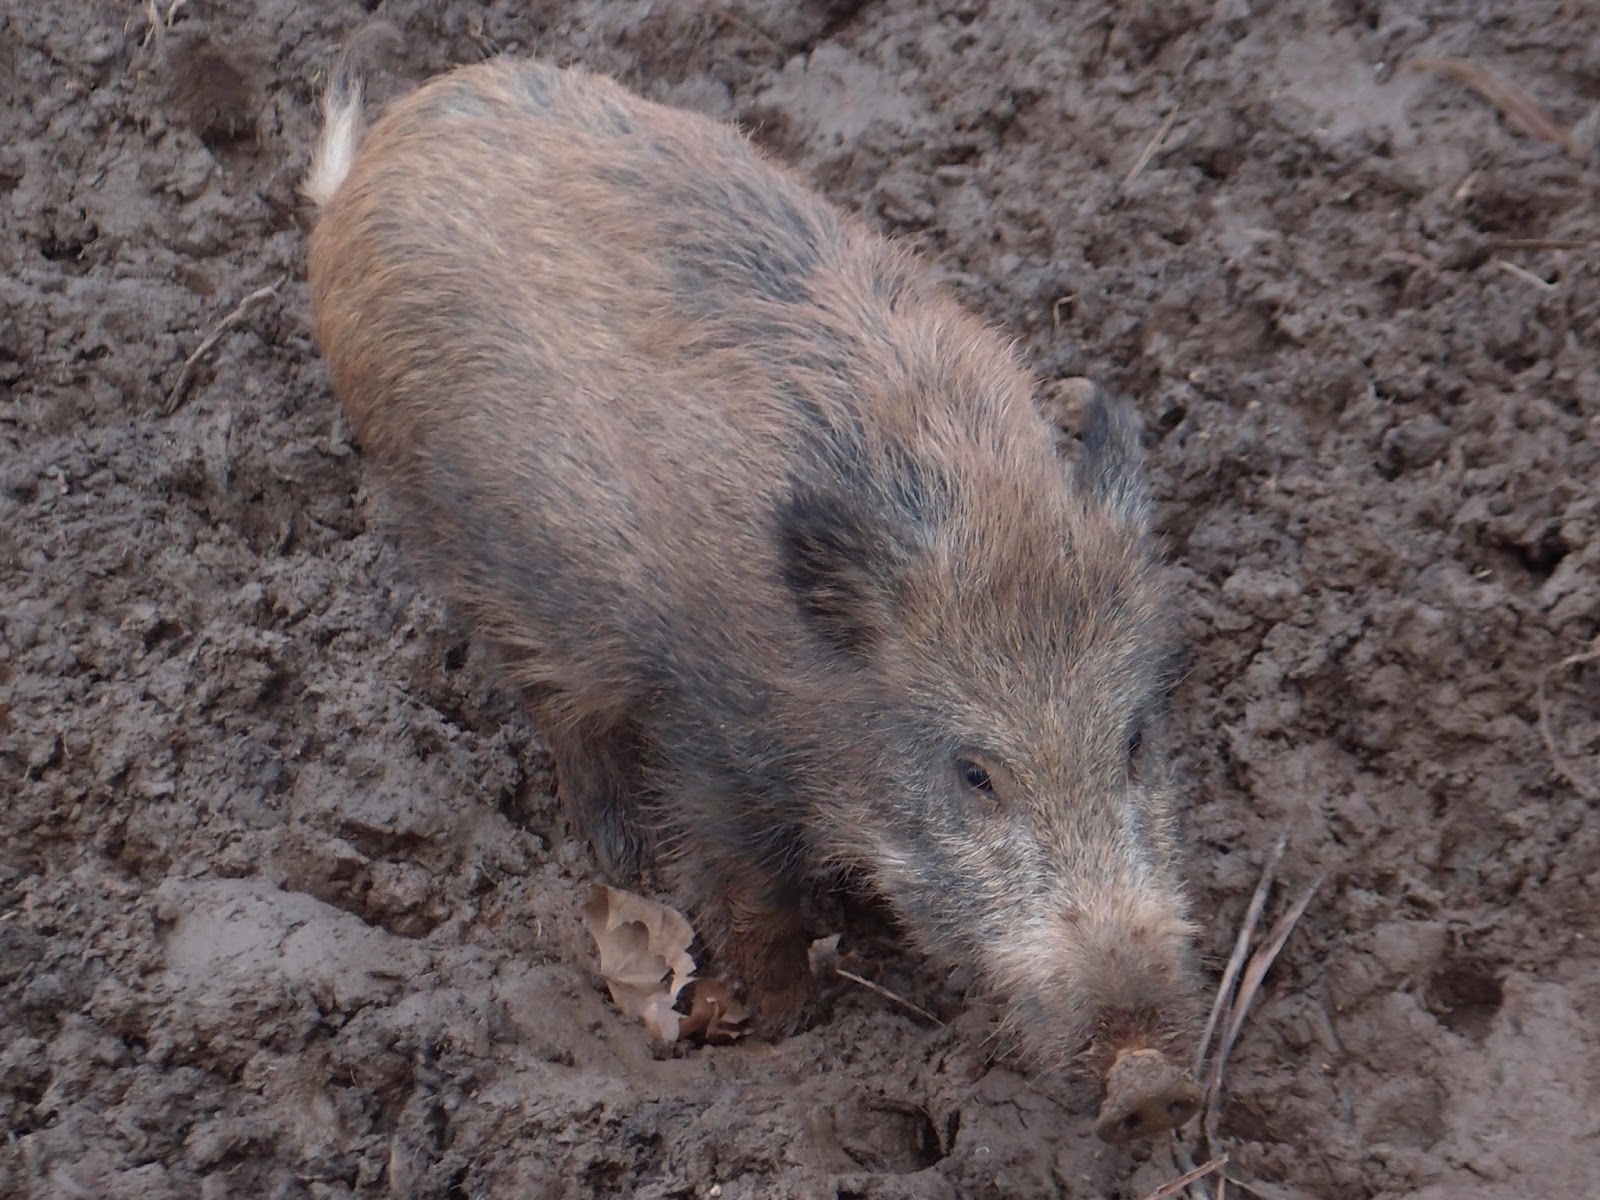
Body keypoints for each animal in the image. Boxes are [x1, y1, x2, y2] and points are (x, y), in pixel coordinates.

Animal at [302, 55, 1205, 1143]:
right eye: (974, 773)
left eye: (1135, 741)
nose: (1151, 1084)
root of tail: (366, 165)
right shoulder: (709, 736)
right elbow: (751, 894)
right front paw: (783, 1021)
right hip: (463, 540)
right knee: (549, 699)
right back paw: (619, 856)